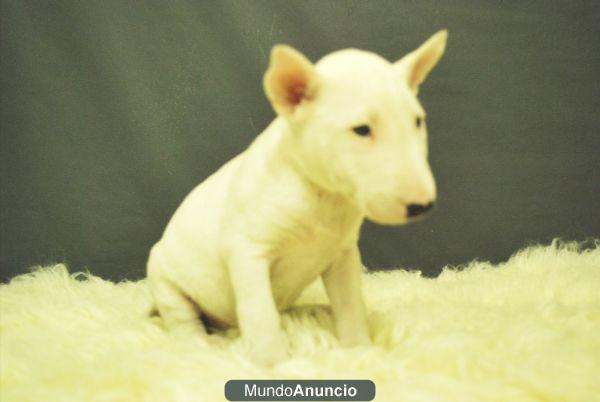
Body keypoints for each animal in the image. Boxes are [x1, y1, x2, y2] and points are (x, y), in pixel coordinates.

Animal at [146, 29, 446, 366]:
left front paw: (360, 351)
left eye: (417, 121)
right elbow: (260, 314)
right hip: (165, 280)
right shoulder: (247, 251)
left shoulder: (343, 255)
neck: (322, 196)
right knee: (184, 321)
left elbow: (351, 305)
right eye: (361, 129)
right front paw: (273, 364)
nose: (422, 205)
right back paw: (205, 343)